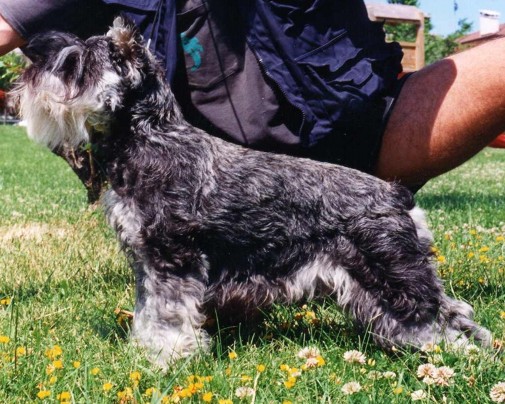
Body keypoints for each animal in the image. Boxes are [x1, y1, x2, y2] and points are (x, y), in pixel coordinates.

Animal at [14, 18, 488, 366]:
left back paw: (457, 358)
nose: (23, 80)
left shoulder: (172, 258)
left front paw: (167, 359)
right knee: (446, 312)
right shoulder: (147, 263)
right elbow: (149, 311)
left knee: (440, 317)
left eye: (75, 63)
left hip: (392, 273)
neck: (153, 140)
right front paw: (146, 350)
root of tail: (396, 195)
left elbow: (168, 314)